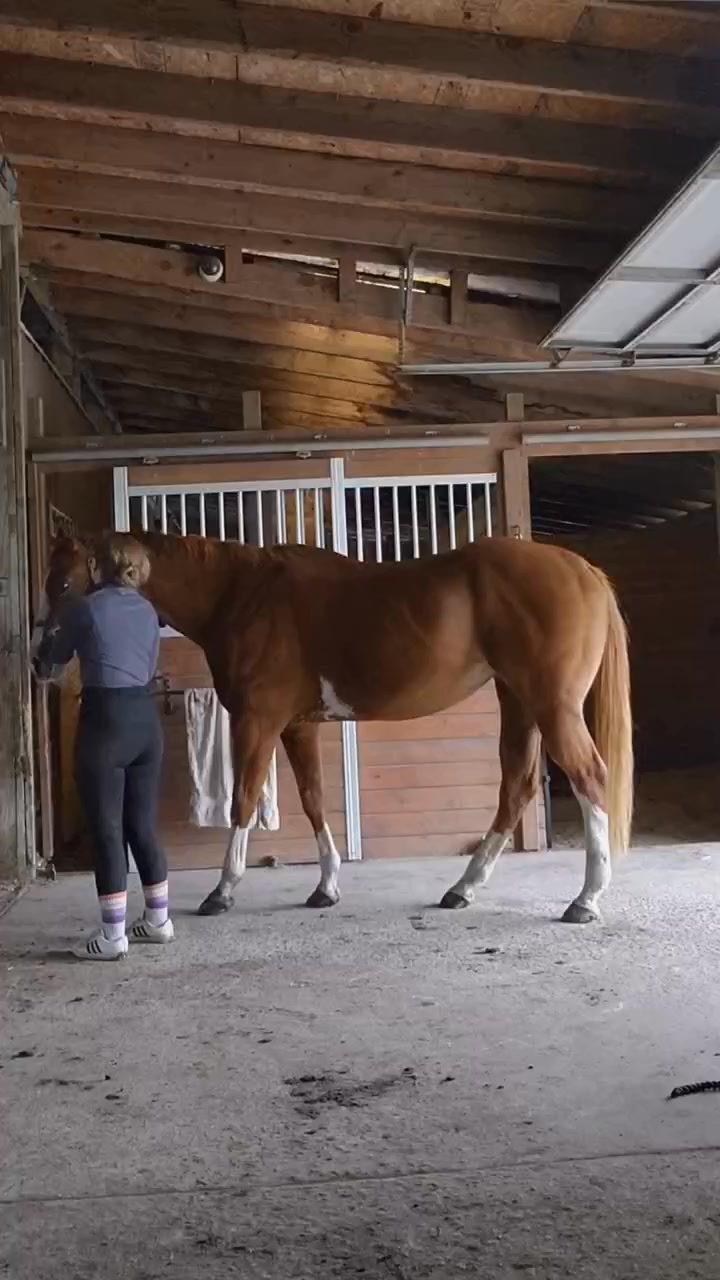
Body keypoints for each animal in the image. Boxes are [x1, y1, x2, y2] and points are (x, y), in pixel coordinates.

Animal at [38, 528, 633, 924]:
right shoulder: (297, 727)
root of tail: (583, 571)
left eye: (64, 583)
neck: (242, 593)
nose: (41, 662)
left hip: (552, 705)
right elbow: (313, 798)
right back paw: (463, 889)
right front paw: (325, 887)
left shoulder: (256, 721)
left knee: (590, 777)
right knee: (516, 788)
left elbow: (243, 800)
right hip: (520, 702)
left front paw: (222, 892)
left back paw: (584, 899)